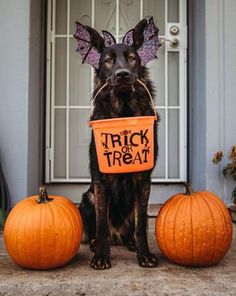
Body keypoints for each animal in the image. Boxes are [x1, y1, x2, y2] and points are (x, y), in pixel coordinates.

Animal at [74, 17, 161, 270]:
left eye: (132, 57)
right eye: (108, 60)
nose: (122, 74)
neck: (123, 110)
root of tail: (118, 236)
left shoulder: (143, 180)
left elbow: (141, 225)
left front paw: (144, 254)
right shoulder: (100, 180)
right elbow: (102, 224)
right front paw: (101, 256)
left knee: (133, 227)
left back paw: (131, 243)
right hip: (89, 198)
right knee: (100, 229)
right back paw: (96, 244)